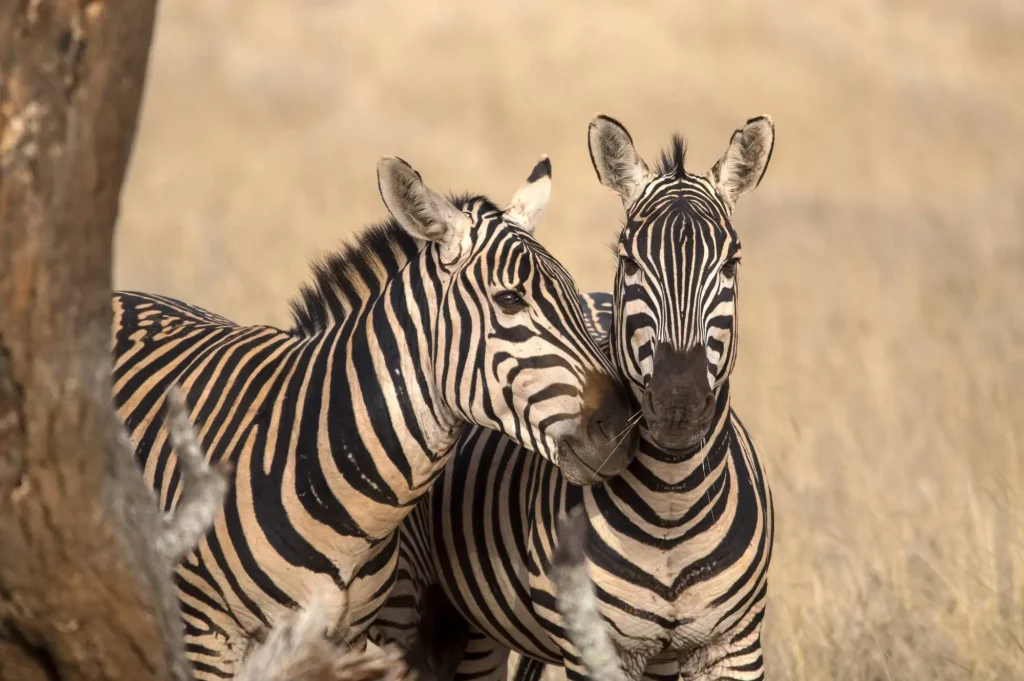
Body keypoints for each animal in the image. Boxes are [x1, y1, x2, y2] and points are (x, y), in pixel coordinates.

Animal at [111, 154, 638, 680]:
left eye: (574, 295)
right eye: (510, 299)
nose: (622, 430)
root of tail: (122, 295)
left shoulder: (342, 643)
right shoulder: (207, 637)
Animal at [370, 114, 776, 681]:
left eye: (731, 264)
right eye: (629, 260)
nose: (677, 407)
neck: (673, 507)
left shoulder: (735, 645)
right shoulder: (596, 649)